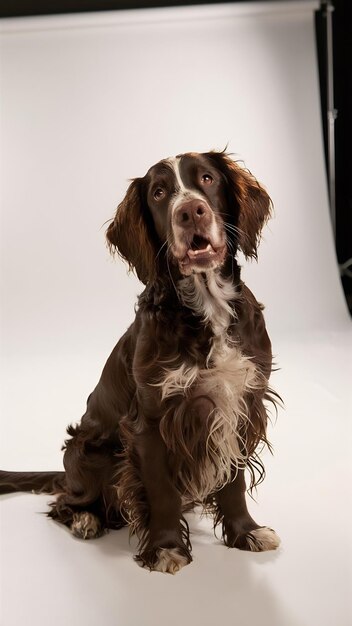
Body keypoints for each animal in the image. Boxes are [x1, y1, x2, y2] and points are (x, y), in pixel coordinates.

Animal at [0, 150, 280, 572]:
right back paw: (86, 519)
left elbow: (234, 480)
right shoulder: (150, 419)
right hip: (87, 452)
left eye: (208, 179)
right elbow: (160, 489)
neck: (207, 308)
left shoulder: (238, 403)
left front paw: (245, 532)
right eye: (160, 193)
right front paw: (165, 548)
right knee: (64, 500)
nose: (190, 211)